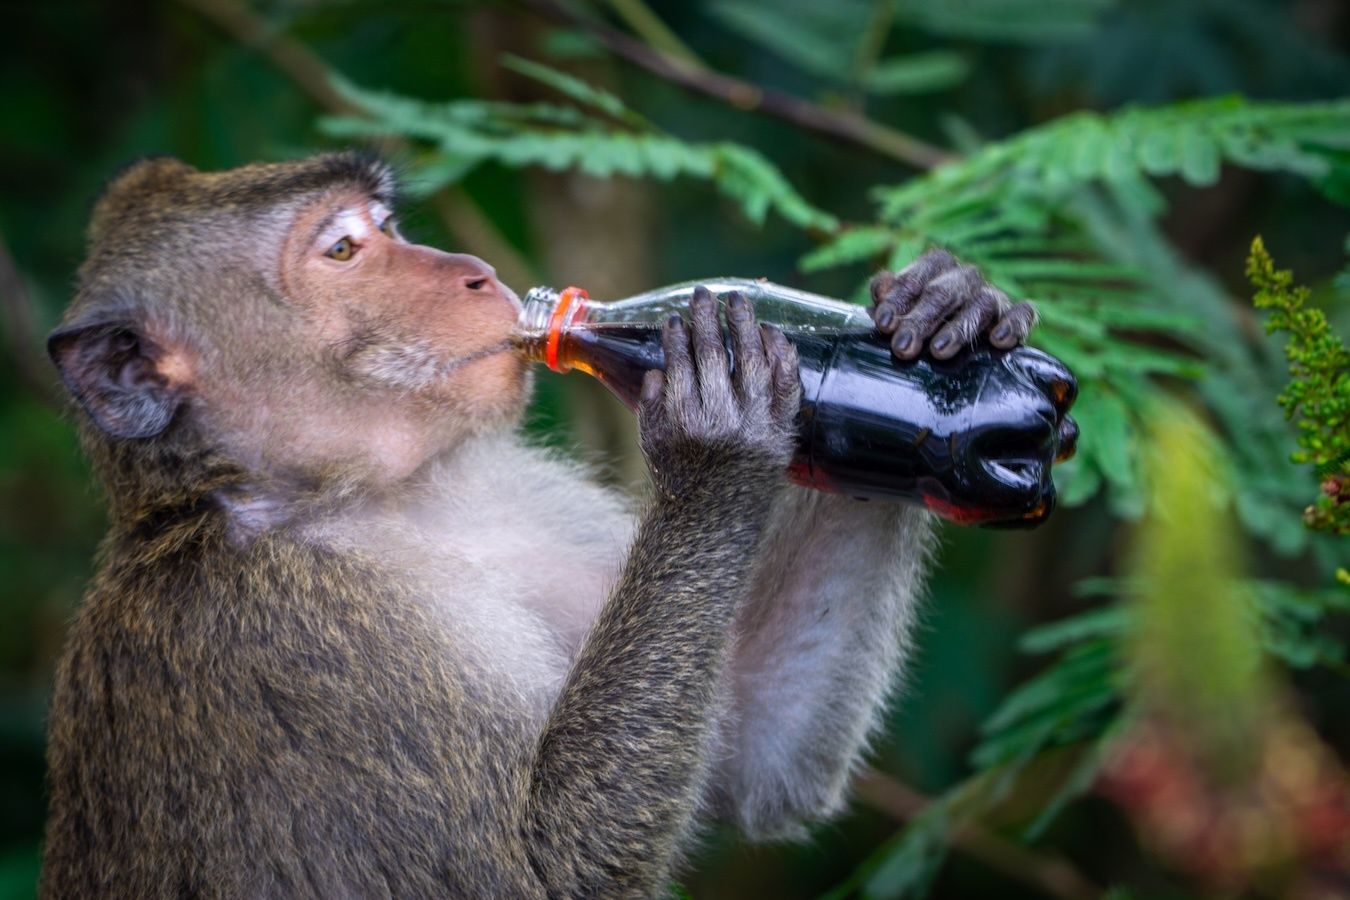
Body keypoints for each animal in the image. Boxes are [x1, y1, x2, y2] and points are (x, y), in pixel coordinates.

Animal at [40, 152, 1039, 898]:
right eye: (343, 250)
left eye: (388, 227)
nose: (476, 275)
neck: (357, 497)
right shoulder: (275, 637)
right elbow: (540, 876)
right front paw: (716, 438)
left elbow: (756, 752)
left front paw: (948, 305)